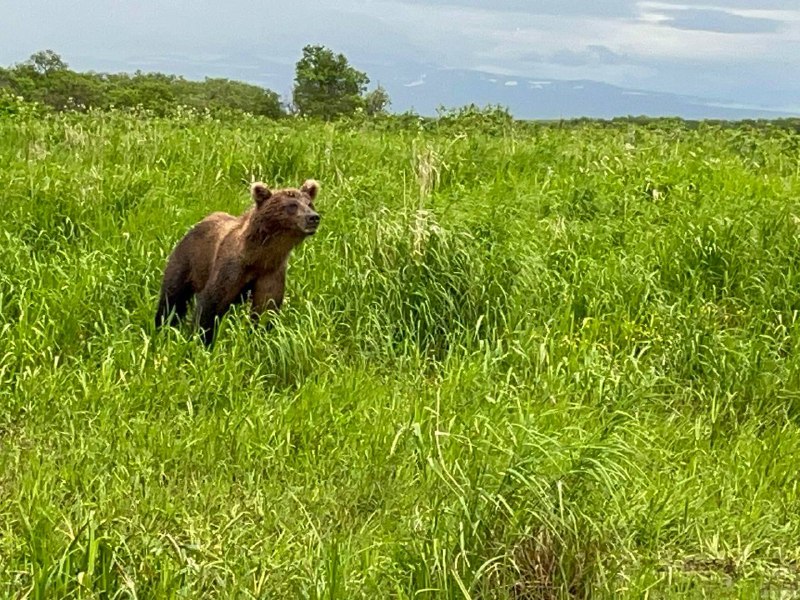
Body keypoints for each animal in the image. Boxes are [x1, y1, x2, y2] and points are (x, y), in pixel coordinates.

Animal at [155, 178, 320, 344]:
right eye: (292, 205)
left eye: (309, 203)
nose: (313, 217)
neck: (258, 257)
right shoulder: (231, 268)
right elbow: (210, 305)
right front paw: (201, 340)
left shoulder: (272, 272)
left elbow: (266, 309)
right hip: (188, 261)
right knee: (172, 298)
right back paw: (161, 327)